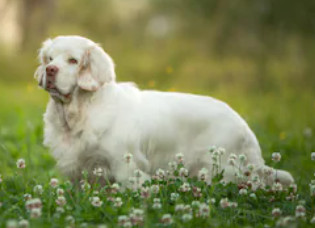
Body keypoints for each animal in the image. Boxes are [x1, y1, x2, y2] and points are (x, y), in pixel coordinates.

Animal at [34, 35, 294, 187]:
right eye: (49, 58)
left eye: (73, 60)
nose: (50, 70)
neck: (79, 112)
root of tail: (244, 126)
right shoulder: (81, 170)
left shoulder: (126, 166)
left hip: (222, 169)